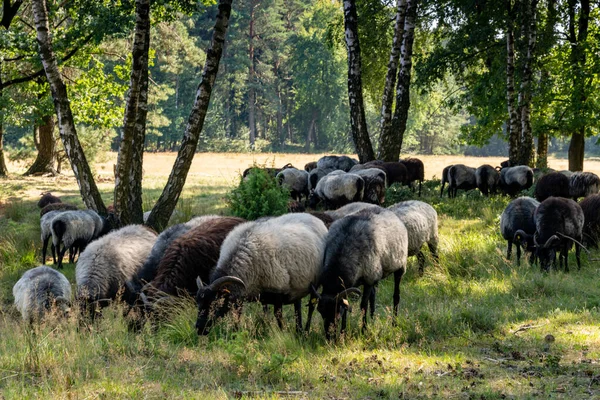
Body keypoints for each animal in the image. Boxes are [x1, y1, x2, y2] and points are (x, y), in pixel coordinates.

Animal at [195, 212, 328, 334]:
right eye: (198, 303)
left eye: (215, 304)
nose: (198, 328)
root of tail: (311, 216)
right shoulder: (243, 295)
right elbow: (238, 316)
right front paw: (236, 333)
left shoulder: (278, 290)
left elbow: (278, 316)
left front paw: (282, 334)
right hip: (296, 286)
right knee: (297, 306)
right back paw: (299, 330)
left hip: (314, 284)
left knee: (311, 306)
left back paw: (305, 330)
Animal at [314, 208, 408, 340]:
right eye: (320, 311)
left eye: (336, 311)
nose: (329, 336)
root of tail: (386, 210)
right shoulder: (352, 284)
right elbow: (348, 307)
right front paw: (343, 333)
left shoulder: (368, 279)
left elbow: (363, 305)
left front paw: (363, 330)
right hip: (376, 274)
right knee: (373, 296)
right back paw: (373, 319)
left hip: (399, 266)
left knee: (396, 296)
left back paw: (394, 323)